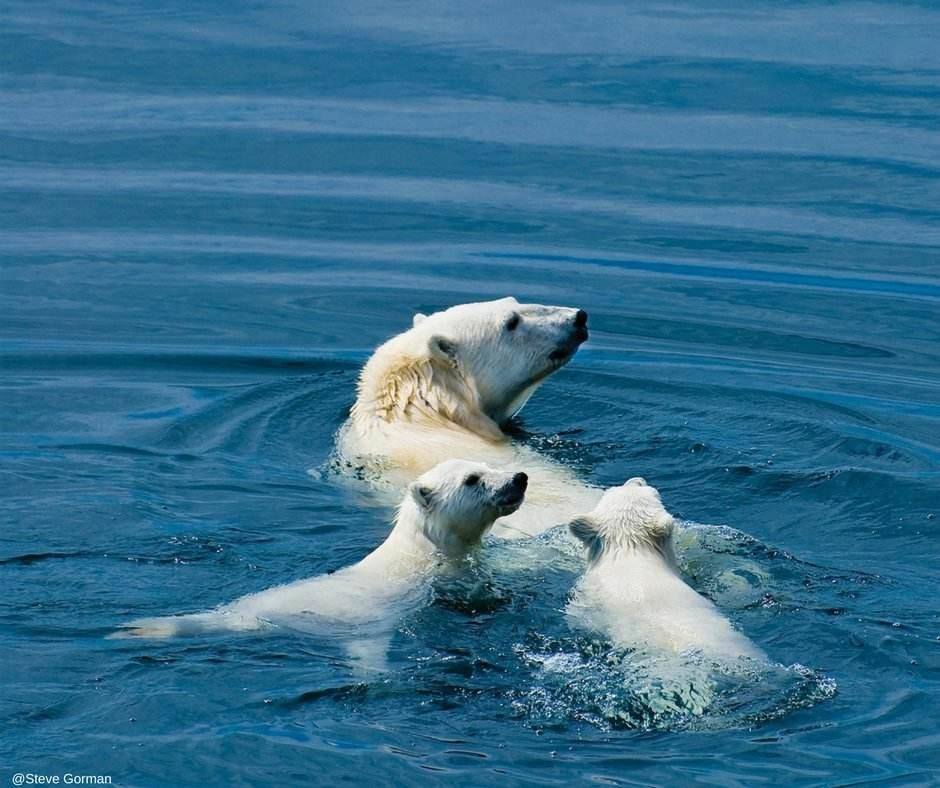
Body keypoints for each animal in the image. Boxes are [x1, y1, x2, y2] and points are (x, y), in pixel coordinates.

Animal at [114, 458, 528, 668]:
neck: (423, 548)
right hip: (359, 625)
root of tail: (245, 613)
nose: (519, 478)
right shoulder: (444, 576)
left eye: (489, 462)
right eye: (473, 479)